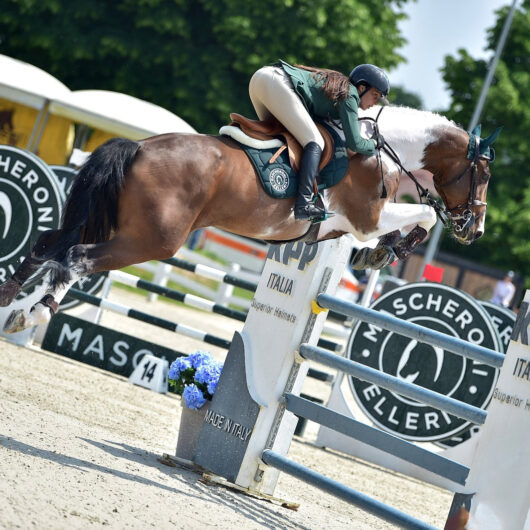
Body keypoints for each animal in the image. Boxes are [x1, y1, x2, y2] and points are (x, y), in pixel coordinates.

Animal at [0, 105, 498, 332]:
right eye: (485, 174)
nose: (475, 230)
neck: (381, 149)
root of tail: (138, 146)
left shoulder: (336, 226)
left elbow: (403, 225)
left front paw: (377, 256)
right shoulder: (366, 217)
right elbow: (423, 216)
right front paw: (390, 249)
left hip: (111, 221)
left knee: (48, 247)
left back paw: (11, 303)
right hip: (151, 240)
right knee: (78, 259)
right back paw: (35, 312)